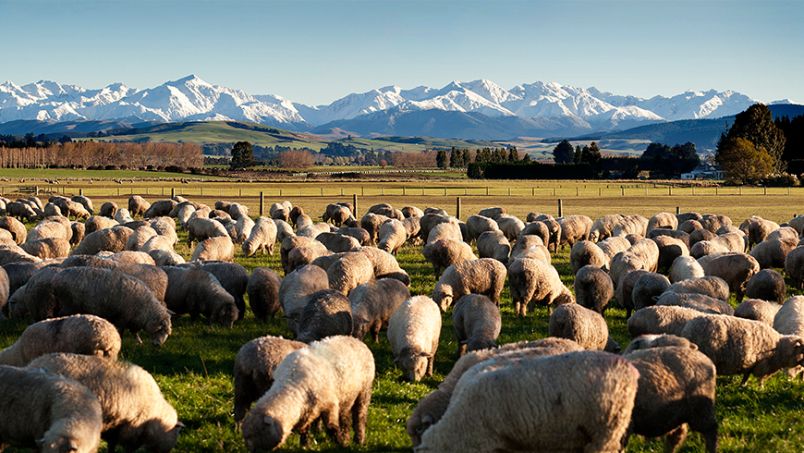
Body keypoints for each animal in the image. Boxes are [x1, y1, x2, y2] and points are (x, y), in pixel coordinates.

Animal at [240, 336, 376, 448]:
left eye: (256, 434)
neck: (291, 382)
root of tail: (355, 339)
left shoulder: (330, 405)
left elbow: (331, 428)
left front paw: (340, 444)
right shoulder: (308, 409)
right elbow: (305, 429)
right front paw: (305, 445)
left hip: (364, 392)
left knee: (359, 417)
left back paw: (359, 440)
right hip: (347, 396)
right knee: (345, 418)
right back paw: (347, 437)